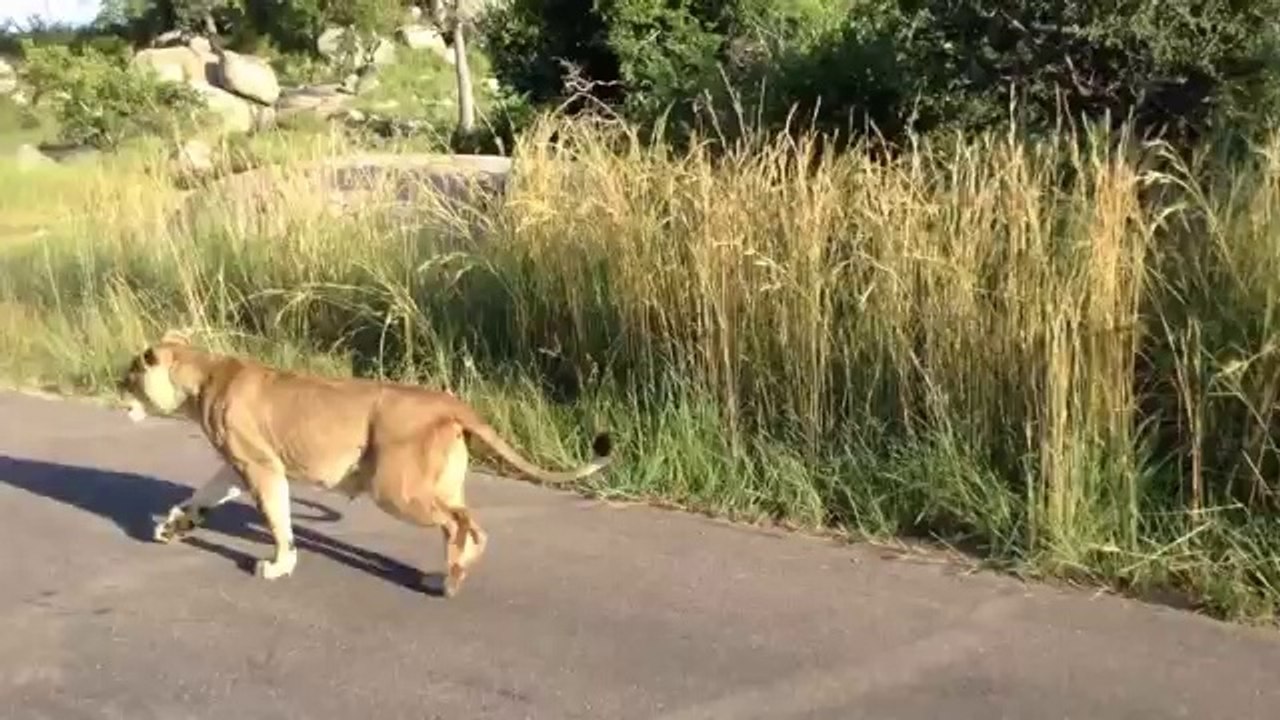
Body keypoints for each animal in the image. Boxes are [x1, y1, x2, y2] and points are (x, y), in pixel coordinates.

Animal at [116, 330, 614, 598]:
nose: (117, 386)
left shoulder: (261, 466)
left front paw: (278, 566)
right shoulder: (235, 465)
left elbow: (279, 523)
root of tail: (449, 401)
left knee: (461, 523)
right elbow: (200, 498)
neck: (203, 375)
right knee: (467, 522)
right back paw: (447, 573)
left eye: (131, 373)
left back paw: (451, 581)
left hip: (395, 488)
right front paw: (171, 527)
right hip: (436, 482)